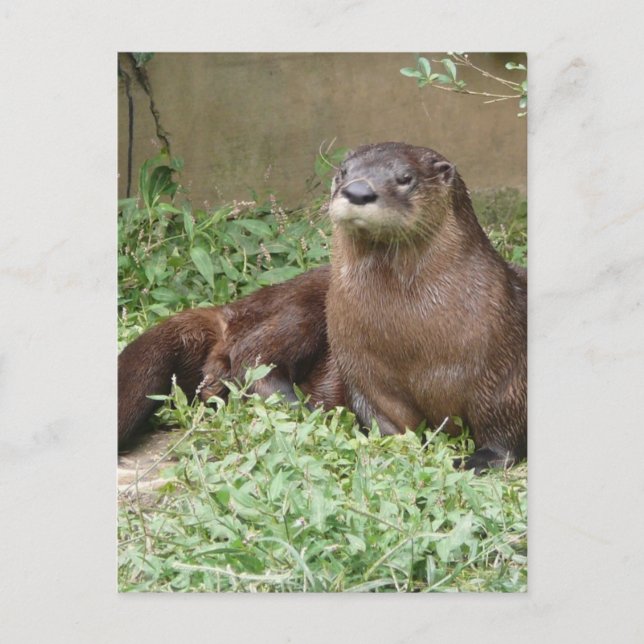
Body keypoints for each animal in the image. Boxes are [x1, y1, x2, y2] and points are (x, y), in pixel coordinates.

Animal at [326, 142, 527, 472]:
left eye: (405, 178)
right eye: (342, 172)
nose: (358, 191)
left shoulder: (504, 372)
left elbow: (502, 425)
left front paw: (478, 459)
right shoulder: (362, 372)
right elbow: (384, 418)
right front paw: (394, 450)